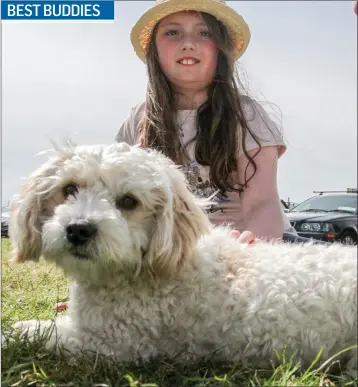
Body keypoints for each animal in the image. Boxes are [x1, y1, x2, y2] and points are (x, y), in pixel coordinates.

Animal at [7, 144, 356, 374]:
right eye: (69, 189)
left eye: (129, 201)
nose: (78, 229)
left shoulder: (112, 344)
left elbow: (35, 332)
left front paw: (12, 334)